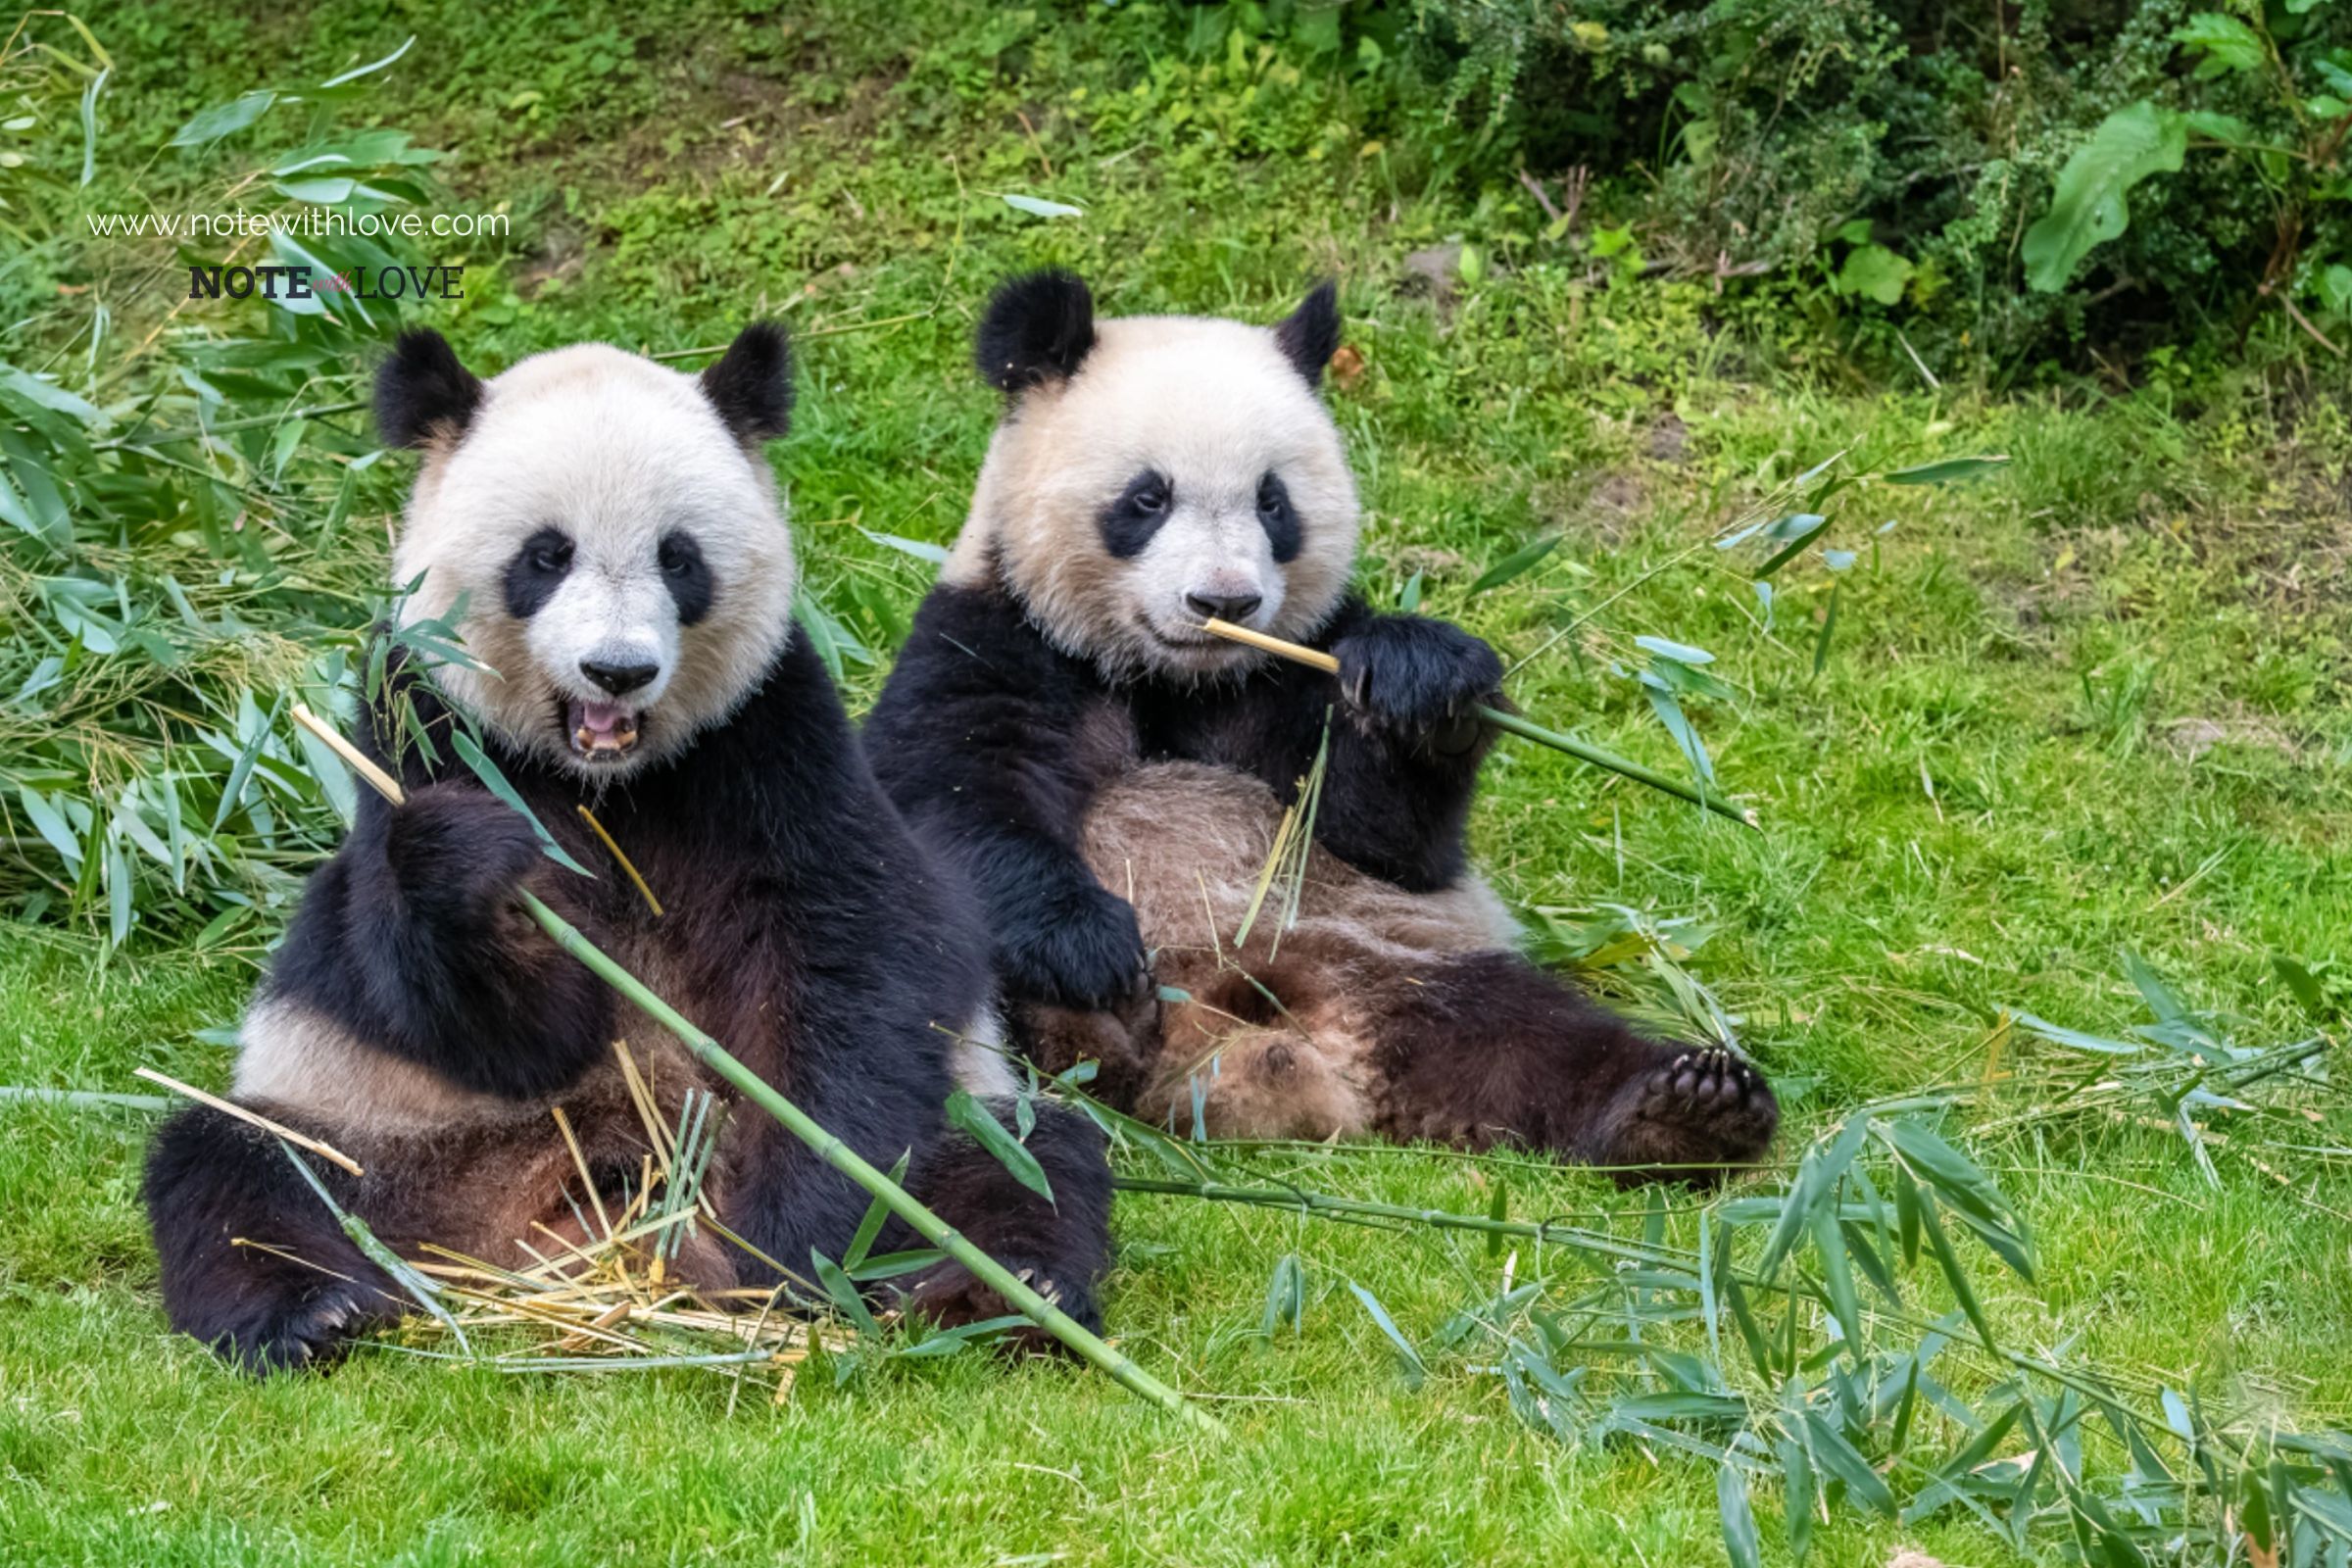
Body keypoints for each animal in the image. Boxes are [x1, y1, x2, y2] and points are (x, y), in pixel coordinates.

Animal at [143, 324, 1113, 1371]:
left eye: (679, 559)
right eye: (545, 556)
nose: (617, 670)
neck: (611, 780)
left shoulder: (771, 741)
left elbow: (851, 955)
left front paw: (797, 1237)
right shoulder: (421, 728)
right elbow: (486, 1015)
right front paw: (469, 866)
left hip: (964, 1117)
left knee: (1028, 1163)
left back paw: (998, 1293)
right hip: (385, 1136)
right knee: (240, 1171)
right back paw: (310, 1312)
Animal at [862, 270, 1778, 1178]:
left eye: (1273, 503)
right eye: (1147, 497)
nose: (1226, 601)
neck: (1173, 679)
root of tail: (1266, 1054)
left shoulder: (1295, 669)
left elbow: (1384, 837)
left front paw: (1424, 686)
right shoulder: (990, 643)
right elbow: (961, 804)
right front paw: (1087, 946)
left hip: (1396, 959)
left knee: (1534, 1041)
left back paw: (1685, 1109)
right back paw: (1102, 1024)